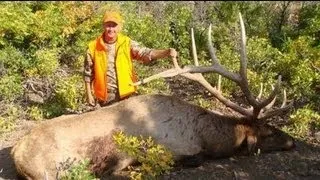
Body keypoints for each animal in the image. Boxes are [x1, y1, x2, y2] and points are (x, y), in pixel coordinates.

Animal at [10, 13, 296, 179]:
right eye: (268, 131)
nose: (293, 141)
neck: (207, 136)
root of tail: (16, 154)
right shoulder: (178, 147)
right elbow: (192, 159)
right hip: (52, 171)